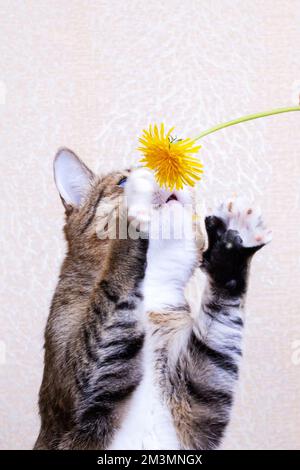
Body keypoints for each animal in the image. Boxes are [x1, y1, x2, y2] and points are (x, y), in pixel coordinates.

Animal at [34, 149, 270, 450]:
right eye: (122, 181)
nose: (161, 171)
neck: (149, 293)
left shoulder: (198, 406)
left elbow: (217, 334)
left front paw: (232, 246)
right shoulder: (80, 386)